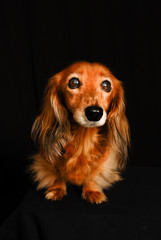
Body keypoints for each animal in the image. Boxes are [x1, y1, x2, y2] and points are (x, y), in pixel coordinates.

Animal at [30, 61, 130, 203]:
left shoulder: (102, 161)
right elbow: (57, 173)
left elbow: (93, 173)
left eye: (106, 85)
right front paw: (57, 189)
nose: (94, 112)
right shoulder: (48, 159)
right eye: (73, 82)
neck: (83, 138)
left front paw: (91, 190)